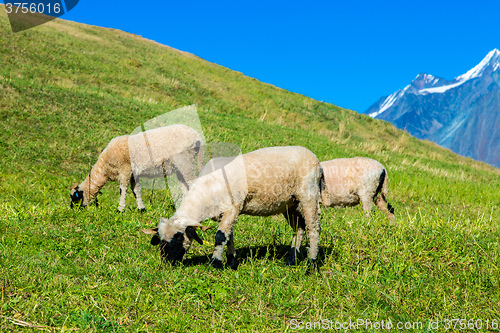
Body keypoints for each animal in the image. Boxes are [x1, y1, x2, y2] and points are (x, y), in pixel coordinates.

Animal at [69, 123, 204, 211]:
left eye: (75, 197)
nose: (74, 210)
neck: (105, 168)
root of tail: (197, 136)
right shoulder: (134, 174)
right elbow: (136, 190)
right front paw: (141, 208)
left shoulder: (125, 169)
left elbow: (123, 189)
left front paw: (120, 209)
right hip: (179, 167)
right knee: (185, 187)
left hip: (185, 161)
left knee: (192, 183)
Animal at [144, 145, 324, 272]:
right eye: (160, 240)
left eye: (179, 238)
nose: (168, 262)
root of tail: (316, 160)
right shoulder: (227, 213)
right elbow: (228, 236)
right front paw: (232, 262)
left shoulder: (233, 208)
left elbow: (220, 236)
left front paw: (216, 263)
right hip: (290, 204)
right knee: (299, 228)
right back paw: (292, 259)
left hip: (308, 195)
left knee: (313, 228)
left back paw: (312, 264)